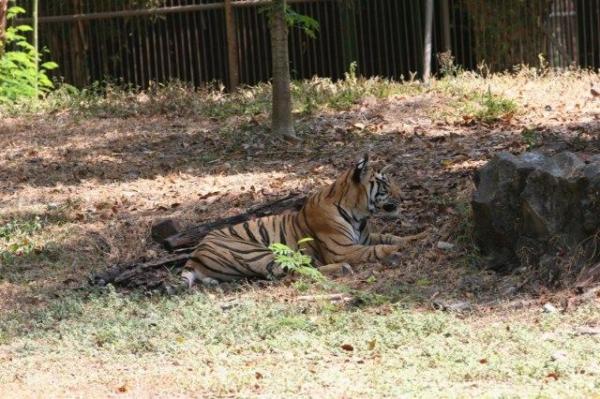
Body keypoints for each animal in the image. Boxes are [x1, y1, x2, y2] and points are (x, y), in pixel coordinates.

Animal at [182, 153, 426, 288]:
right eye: (385, 185)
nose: (404, 197)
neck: (359, 215)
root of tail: (196, 252)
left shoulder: (366, 237)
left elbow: (391, 236)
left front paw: (421, 235)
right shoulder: (343, 250)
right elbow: (378, 249)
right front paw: (405, 248)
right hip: (257, 252)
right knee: (293, 272)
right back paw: (342, 269)